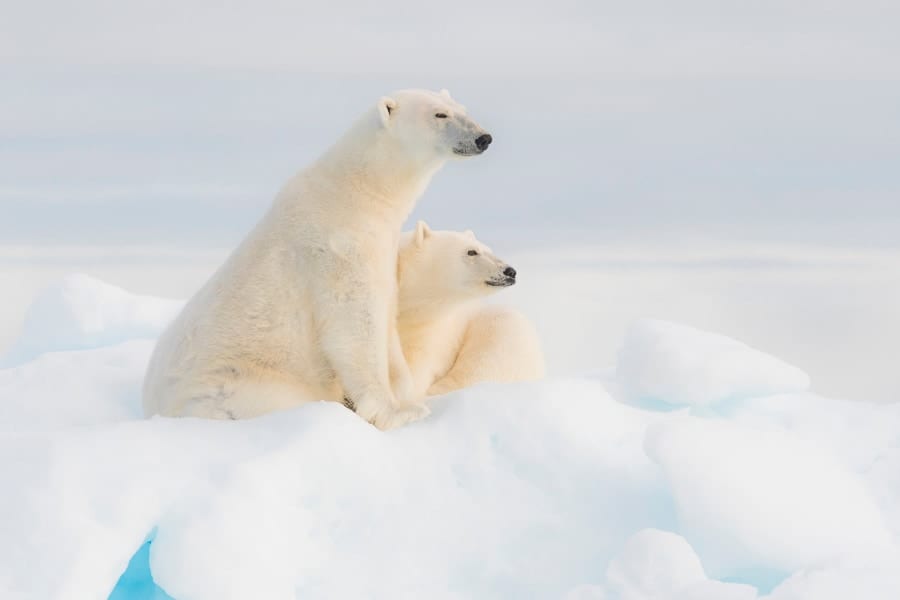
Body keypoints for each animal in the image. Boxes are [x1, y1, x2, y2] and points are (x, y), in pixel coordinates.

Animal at [144, 88, 492, 426]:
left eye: (461, 108)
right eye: (439, 114)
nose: (483, 138)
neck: (354, 193)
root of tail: (155, 407)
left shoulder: (382, 254)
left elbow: (388, 324)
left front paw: (409, 397)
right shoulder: (338, 250)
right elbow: (355, 327)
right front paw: (398, 412)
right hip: (243, 383)